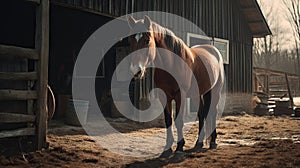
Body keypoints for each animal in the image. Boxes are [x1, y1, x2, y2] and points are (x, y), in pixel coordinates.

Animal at [127, 15, 224, 155]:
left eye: (147, 40)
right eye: (130, 41)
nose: (136, 70)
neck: (172, 63)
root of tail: (214, 51)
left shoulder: (180, 95)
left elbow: (179, 121)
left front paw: (179, 146)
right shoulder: (164, 96)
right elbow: (168, 120)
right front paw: (168, 148)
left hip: (215, 91)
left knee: (213, 113)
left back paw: (213, 142)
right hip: (198, 94)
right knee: (201, 114)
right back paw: (199, 143)